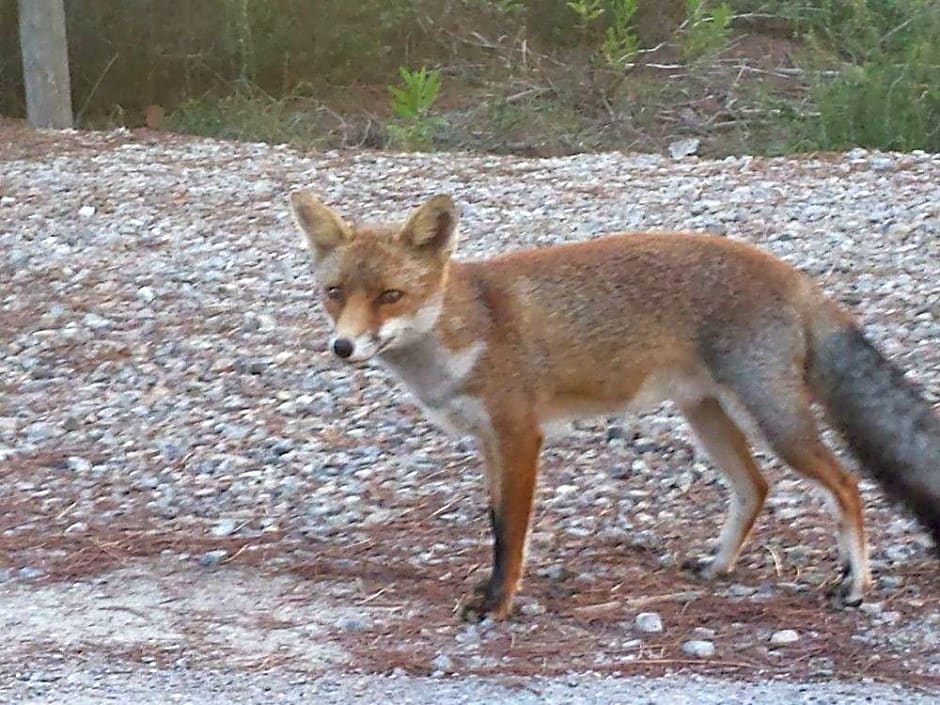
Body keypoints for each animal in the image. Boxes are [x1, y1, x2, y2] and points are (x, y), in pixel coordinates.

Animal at [288, 191, 940, 616]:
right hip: (706, 414)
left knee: (846, 484)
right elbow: (496, 527)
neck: (465, 331)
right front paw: (491, 595)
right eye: (335, 293)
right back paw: (718, 566)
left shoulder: (519, 435)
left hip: (775, 419)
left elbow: (511, 535)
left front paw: (498, 605)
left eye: (390, 296)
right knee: (756, 488)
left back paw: (856, 585)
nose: (342, 346)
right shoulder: (487, 442)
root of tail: (797, 277)